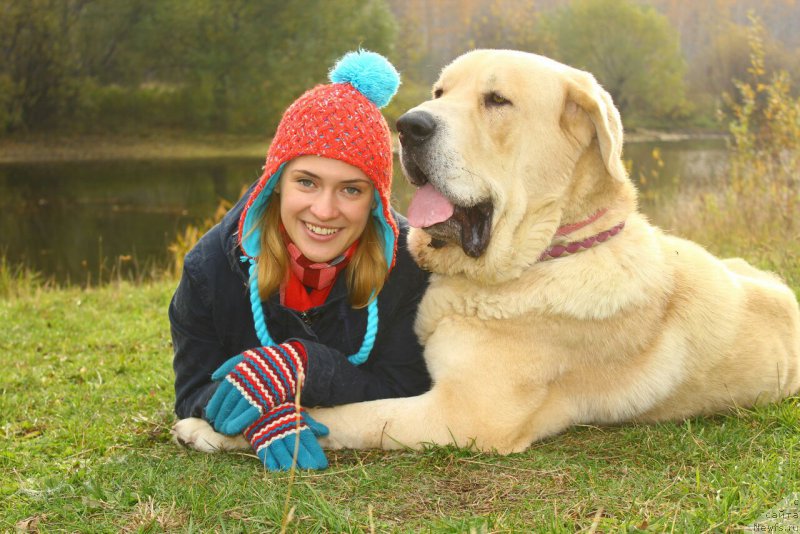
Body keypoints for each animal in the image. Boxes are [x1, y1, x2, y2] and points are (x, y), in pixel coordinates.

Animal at [175, 52, 800, 458]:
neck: (534, 261)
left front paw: (217, 428)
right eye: (439, 93)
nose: (408, 125)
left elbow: (344, 416)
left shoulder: (460, 414)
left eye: (497, 100)